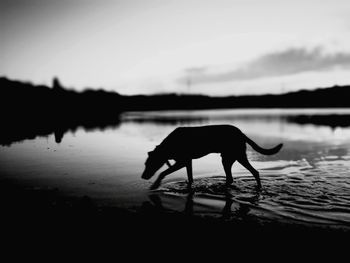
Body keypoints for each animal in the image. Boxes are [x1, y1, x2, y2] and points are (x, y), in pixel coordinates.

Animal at [141, 126, 284, 190]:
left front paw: (155, 185)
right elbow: (190, 177)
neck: (168, 145)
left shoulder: (182, 162)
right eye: (145, 164)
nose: (143, 177)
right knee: (235, 177)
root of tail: (241, 133)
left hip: (235, 156)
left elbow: (162, 172)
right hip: (230, 158)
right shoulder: (187, 162)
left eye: (150, 164)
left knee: (253, 172)